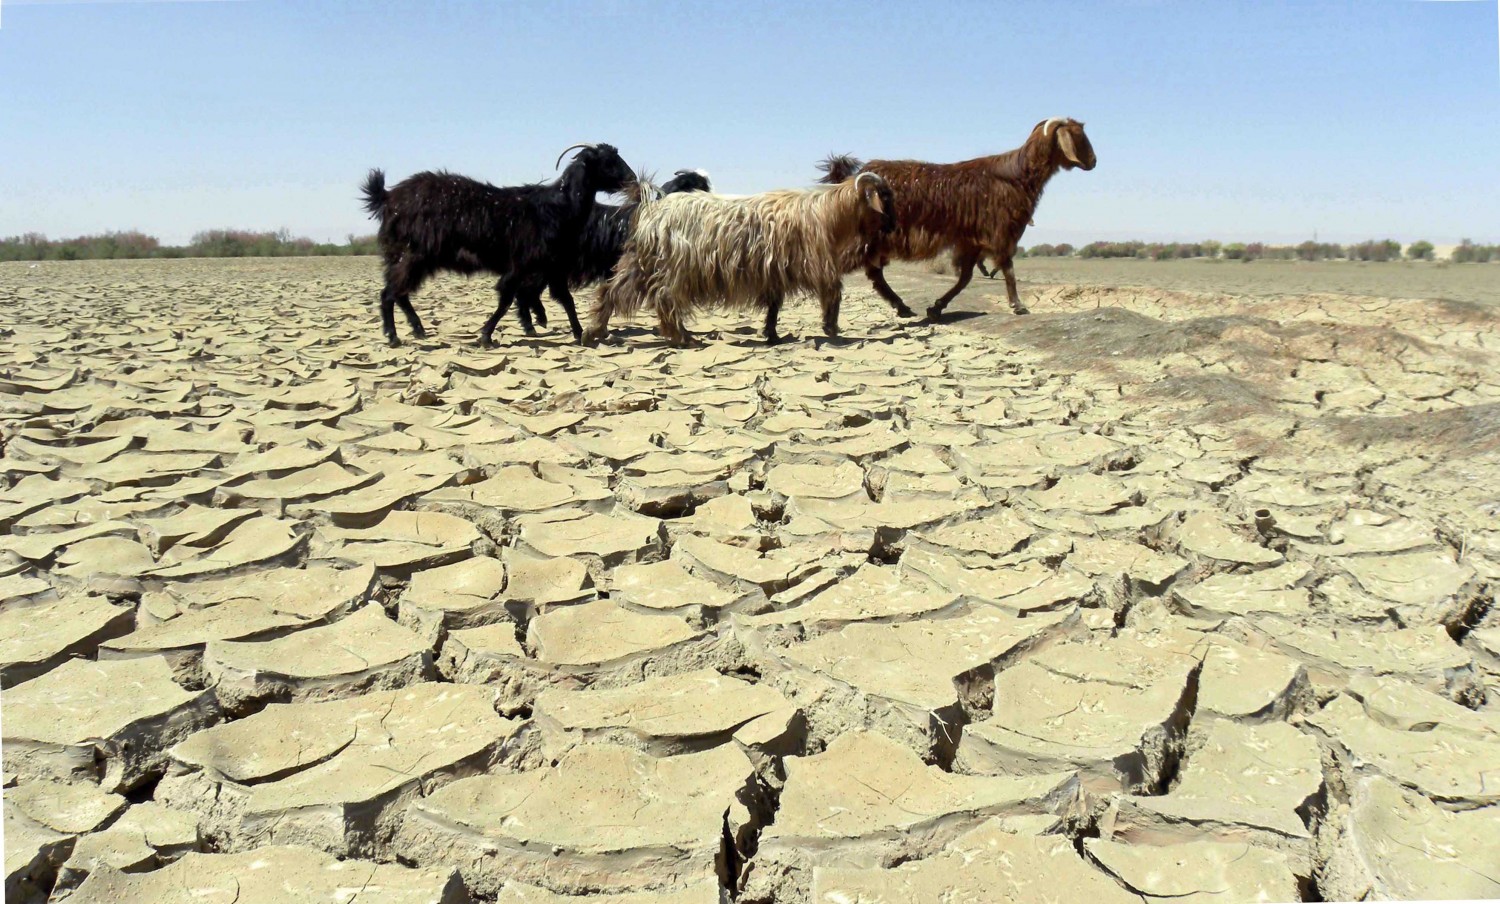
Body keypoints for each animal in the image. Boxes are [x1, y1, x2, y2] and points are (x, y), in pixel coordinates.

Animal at [361, 143, 633, 347]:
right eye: (607, 161)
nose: (632, 179)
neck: (556, 208)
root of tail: (387, 197)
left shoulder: (552, 267)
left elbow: (565, 300)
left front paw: (580, 334)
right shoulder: (523, 265)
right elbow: (506, 299)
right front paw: (486, 336)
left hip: (411, 257)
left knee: (399, 292)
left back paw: (417, 329)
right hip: (412, 254)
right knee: (390, 293)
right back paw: (394, 336)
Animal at [822, 118, 1092, 320]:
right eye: (1079, 135)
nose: (1093, 161)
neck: (1017, 176)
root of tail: (852, 178)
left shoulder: (971, 240)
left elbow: (965, 278)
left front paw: (936, 308)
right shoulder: (1001, 232)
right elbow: (1007, 268)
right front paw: (1019, 306)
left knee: (875, 274)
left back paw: (903, 308)